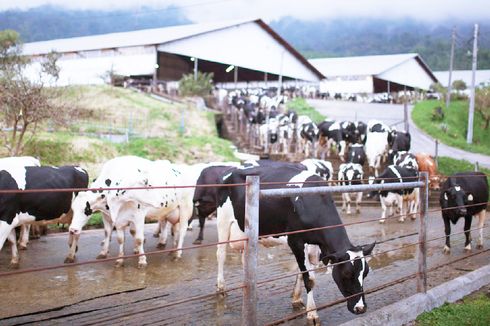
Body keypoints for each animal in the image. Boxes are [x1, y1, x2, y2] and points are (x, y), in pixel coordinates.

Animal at [215, 166, 376, 324]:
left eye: (365, 273)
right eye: (346, 274)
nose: (361, 308)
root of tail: (231, 171)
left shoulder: (314, 247)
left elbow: (301, 273)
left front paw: (297, 299)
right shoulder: (296, 241)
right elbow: (309, 279)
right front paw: (312, 314)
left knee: (244, 259)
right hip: (223, 222)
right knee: (221, 254)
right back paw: (221, 288)